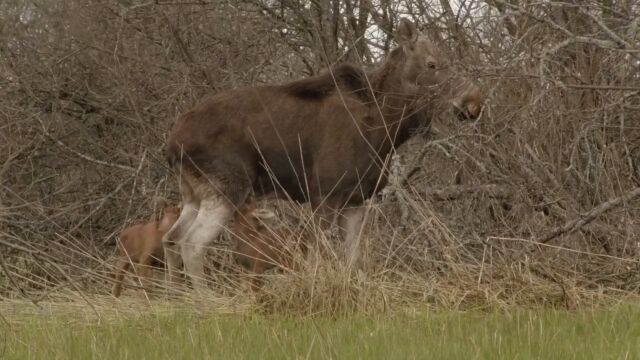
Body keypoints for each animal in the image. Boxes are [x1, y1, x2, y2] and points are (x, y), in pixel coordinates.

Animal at [162, 19, 482, 290]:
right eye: (432, 64)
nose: (473, 101)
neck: (386, 128)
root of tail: (173, 143)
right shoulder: (324, 196)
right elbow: (317, 256)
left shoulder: (356, 200)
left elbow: (352, 260)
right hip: (228, 188)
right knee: (192, 244)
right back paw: (205, 300)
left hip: (193, 192)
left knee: (170, 239)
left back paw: (177, 295)